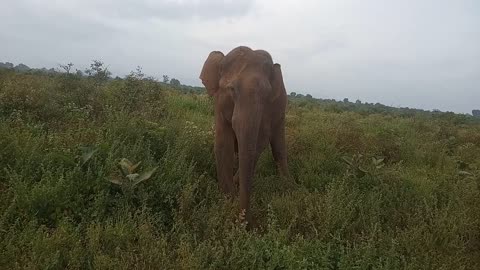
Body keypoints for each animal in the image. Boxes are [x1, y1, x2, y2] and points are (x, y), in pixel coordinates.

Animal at [199, 45, 288, 227]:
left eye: (267, 94)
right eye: (232, 89)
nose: (248, 224)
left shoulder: (268, 110)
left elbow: (257, 143)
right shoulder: (219, 104)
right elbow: (223, 145)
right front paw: (227, 201)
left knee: (277, 148)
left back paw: (289, 190)